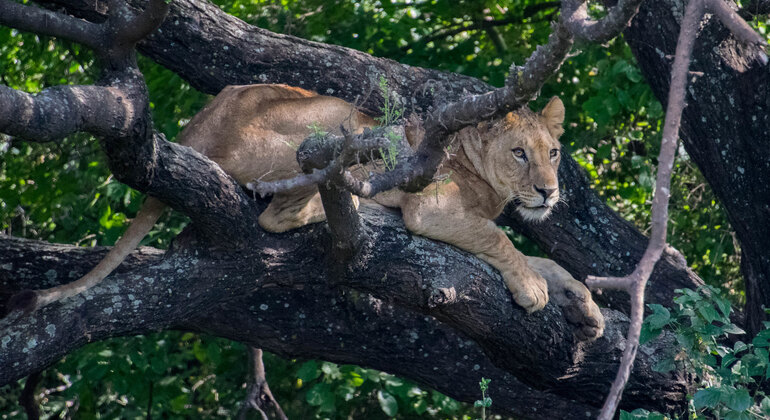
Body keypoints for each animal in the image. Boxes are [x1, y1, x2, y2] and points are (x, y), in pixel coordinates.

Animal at [9, 84, 604, 342]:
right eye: (519, 153)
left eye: (553, 152)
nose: (549, 193)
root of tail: (192, 129)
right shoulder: (430, 209)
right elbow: (500, 240)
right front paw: (533, 289)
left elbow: (549, 260)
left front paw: (586, 307)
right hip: (325, 125)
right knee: (277, 215)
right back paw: (360, 208)